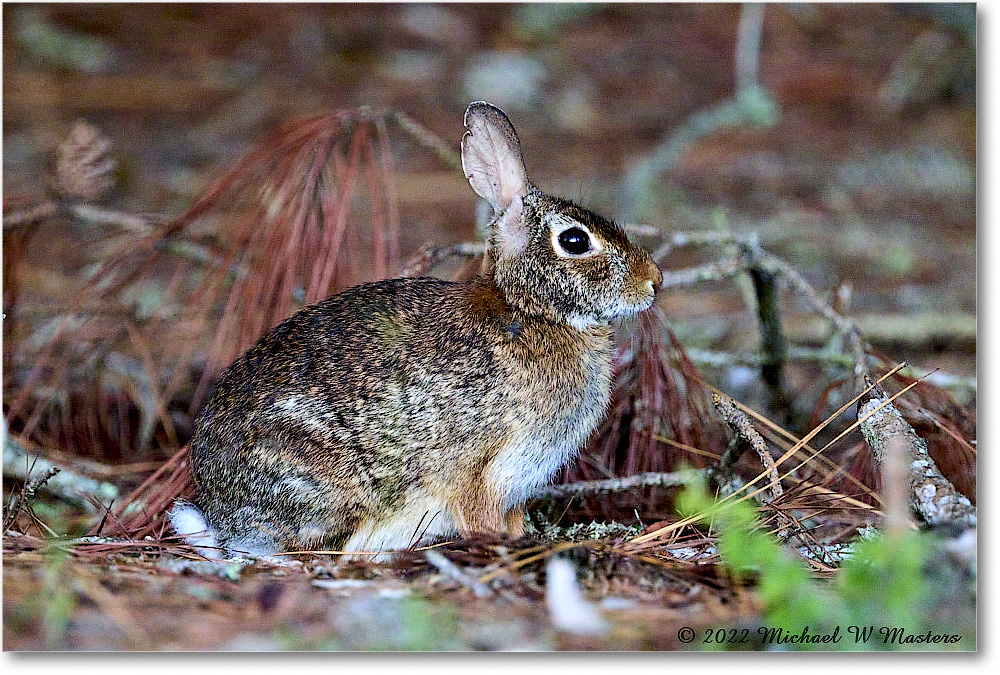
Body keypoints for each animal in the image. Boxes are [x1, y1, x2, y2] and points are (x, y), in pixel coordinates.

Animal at [170, 100, 664, 564]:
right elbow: (483, 518)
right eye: (575, 241)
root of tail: (220, 514)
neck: (529, 311)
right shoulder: (482, 468)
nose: (654, 281)